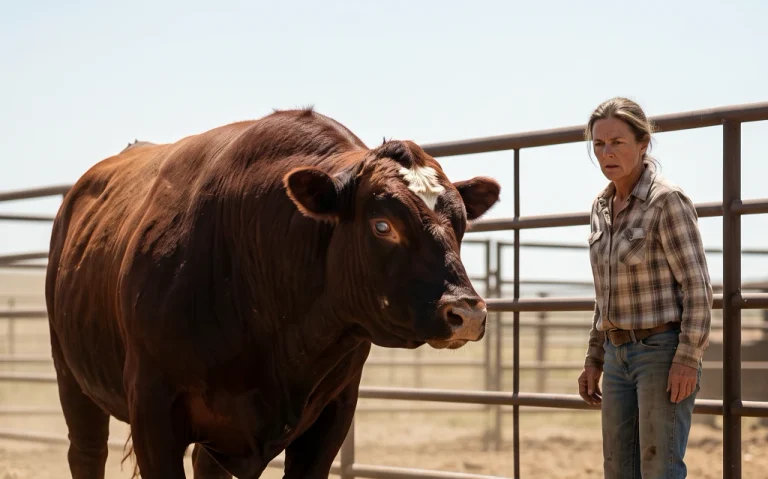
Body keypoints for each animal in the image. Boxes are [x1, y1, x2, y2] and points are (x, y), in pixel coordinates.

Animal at [45, 107, 501, 479]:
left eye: (461, 223)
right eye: (382, 225)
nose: (467, 312)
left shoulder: (331, 415)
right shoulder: (153, 410)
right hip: (72, 377)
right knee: (86, 454)